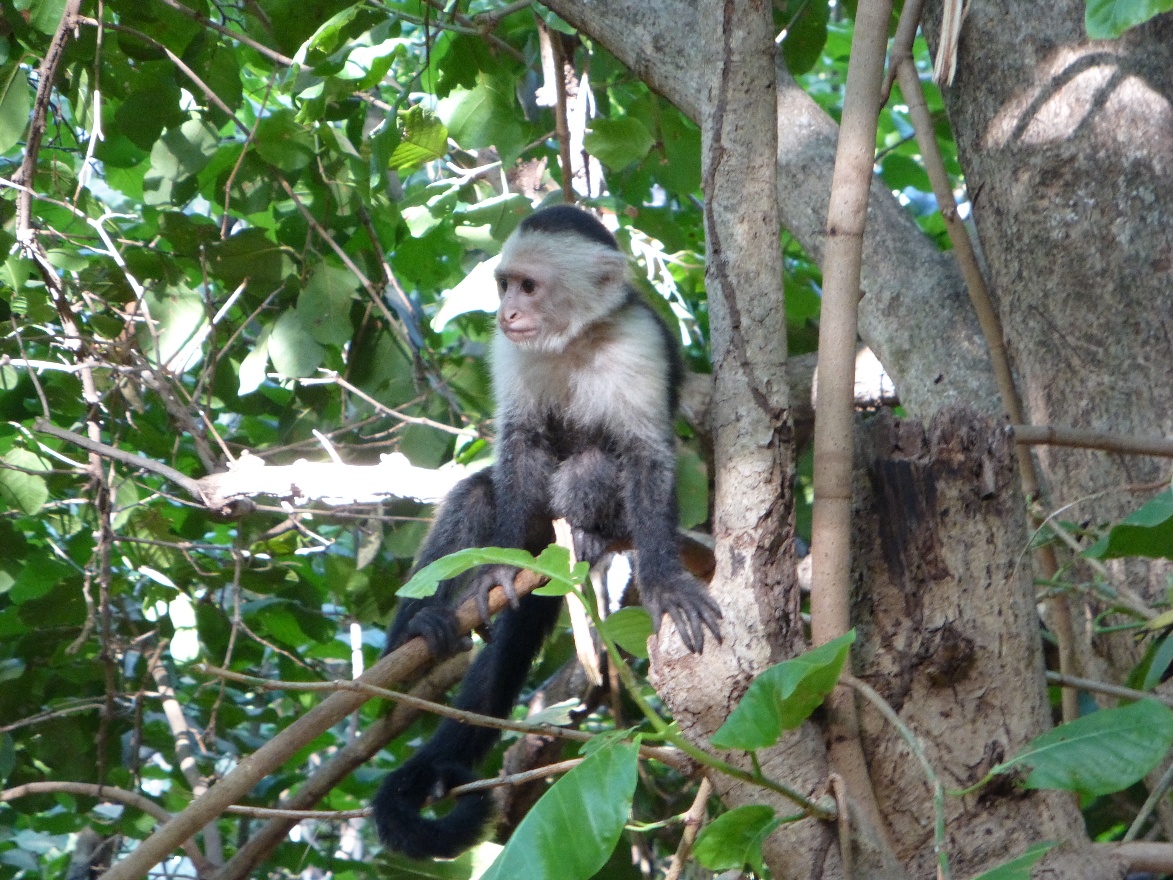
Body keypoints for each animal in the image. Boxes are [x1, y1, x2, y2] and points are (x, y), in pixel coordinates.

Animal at [372, 204, 722, 860]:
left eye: (529, 287)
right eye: (505, 285)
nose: (507, 313)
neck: (574, 341)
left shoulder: (638, 342)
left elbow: (647, 456)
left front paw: (665, 580)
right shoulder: (511, 354)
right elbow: (520, 448)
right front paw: (498, 568)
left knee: (592, 467)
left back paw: (585, 536)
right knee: (479, 496)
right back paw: (418, 630)